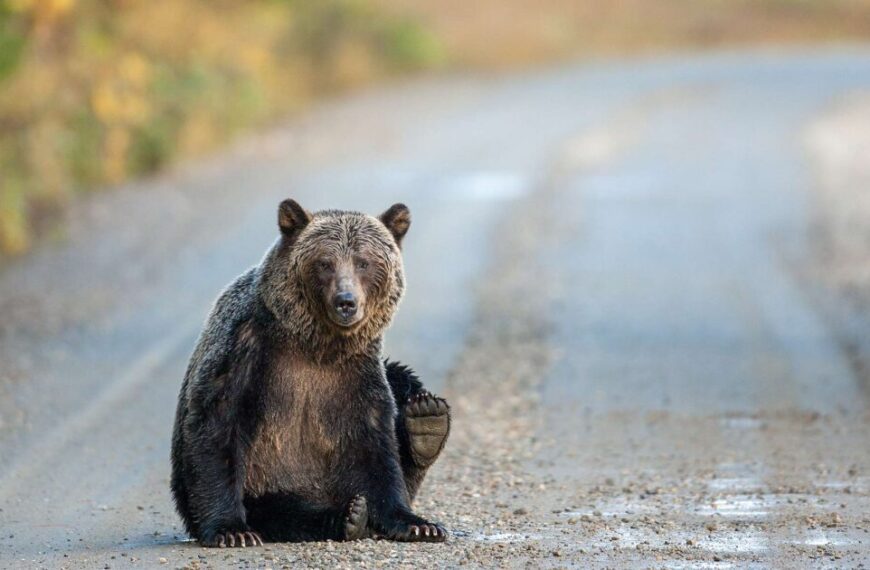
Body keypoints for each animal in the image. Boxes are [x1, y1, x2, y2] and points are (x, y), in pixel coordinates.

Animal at [170, 200, 451, 547]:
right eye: (324, 263)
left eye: (364, 262)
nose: (346, 302)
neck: (315, 346)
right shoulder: (244, 349)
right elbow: (217, 423)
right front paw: (231, 530)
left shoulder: (356, 373)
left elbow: (375, 445)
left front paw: (418, 524)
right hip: (268, 489)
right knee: (287, 513)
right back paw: (348, 516)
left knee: (402, 380)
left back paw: (426, 421)